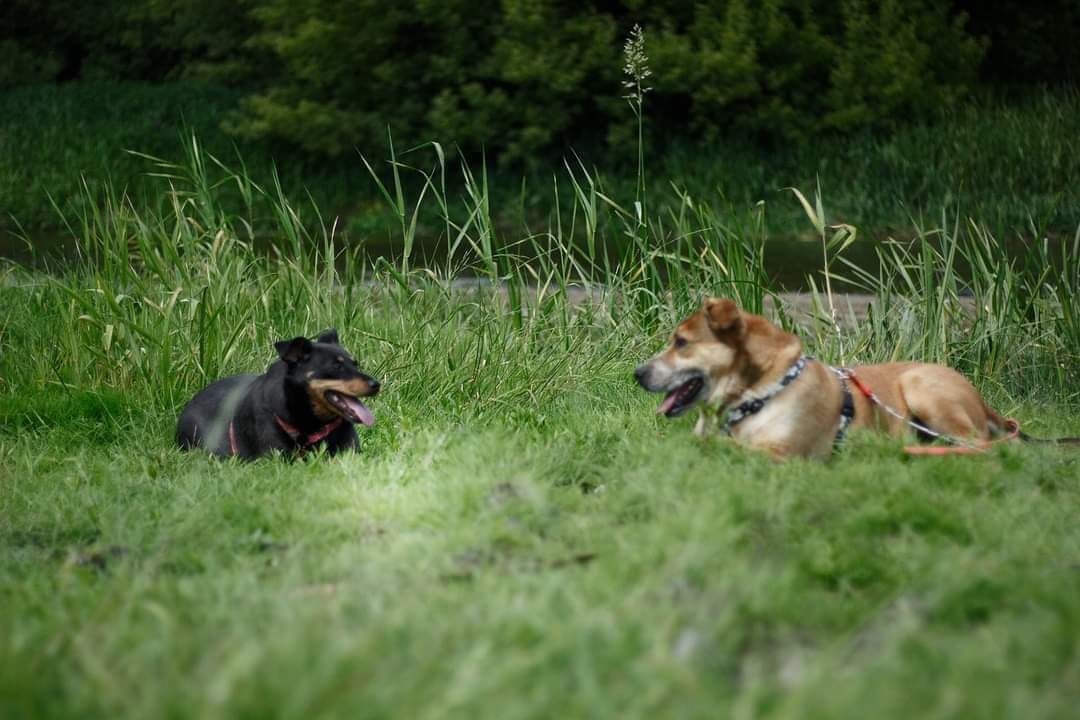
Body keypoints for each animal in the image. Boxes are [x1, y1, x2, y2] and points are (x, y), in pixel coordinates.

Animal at [630, 297, 1010, 462]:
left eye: (681, 343)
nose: (637, 373)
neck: (753, 393)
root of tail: (982, 402)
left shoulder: (783, 453)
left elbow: (719, 445)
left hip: (922, 387)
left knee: (977, 442)